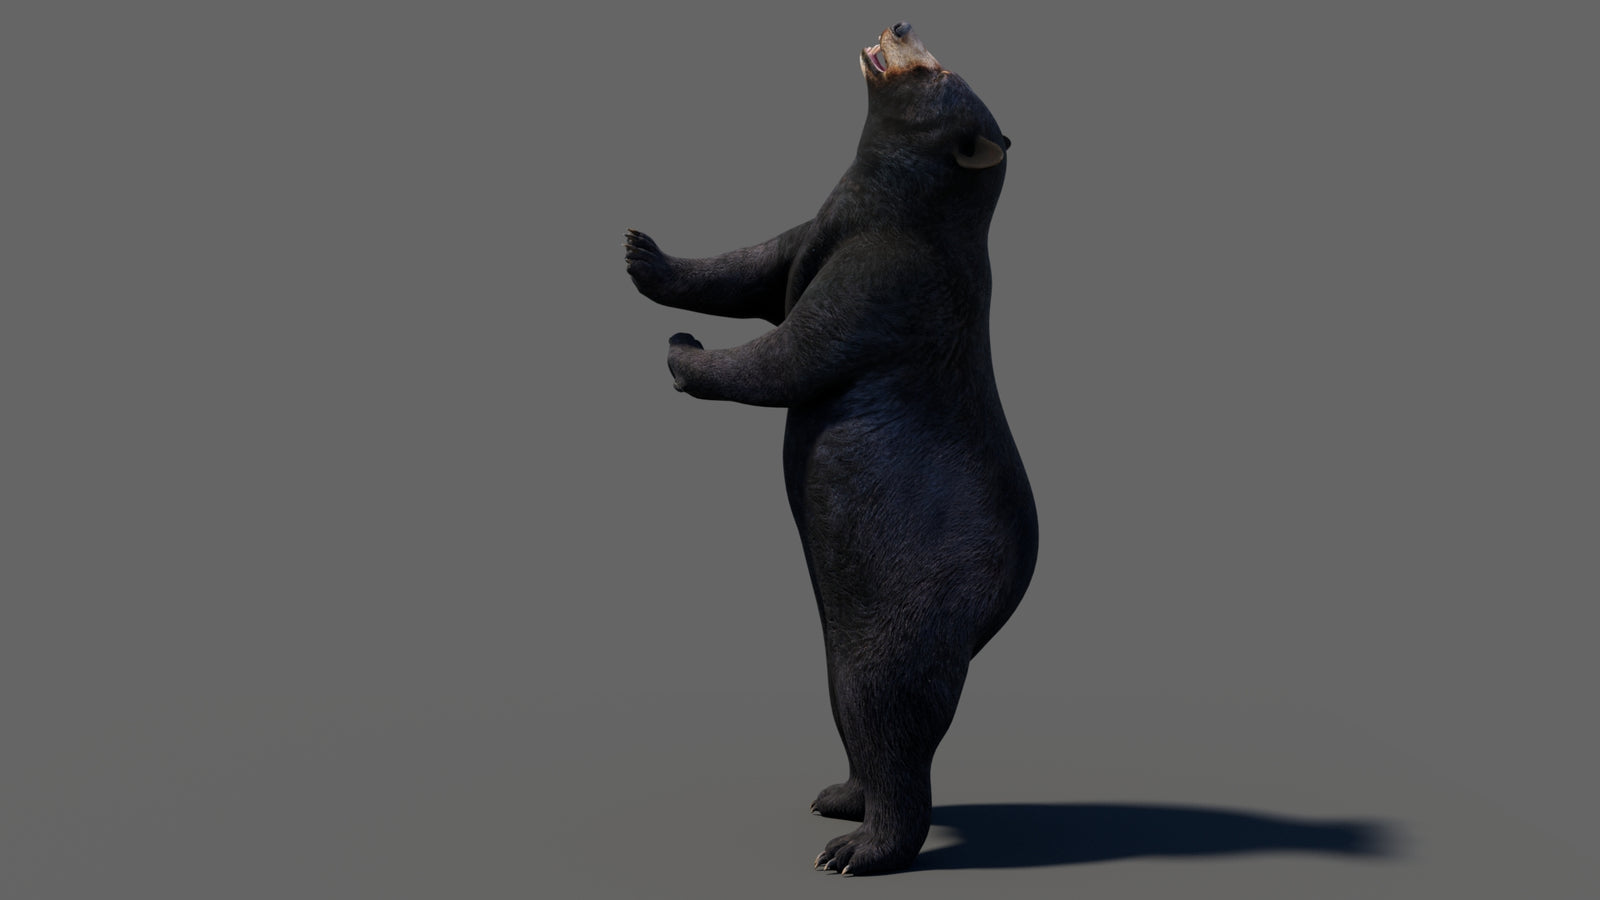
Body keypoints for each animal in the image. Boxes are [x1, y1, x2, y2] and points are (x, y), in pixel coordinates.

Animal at [624, 22, 1037, 875]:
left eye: (937, 71)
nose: (901, 24)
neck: (890, 204)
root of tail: (996, 610)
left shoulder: (889, 275)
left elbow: (796, 350)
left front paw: (684, 352)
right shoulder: (819, 229)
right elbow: (754, 267)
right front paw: (643, 250)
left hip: (908, 607)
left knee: (888, 708)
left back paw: (858, 848)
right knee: (854, 709)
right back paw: (839, 797)